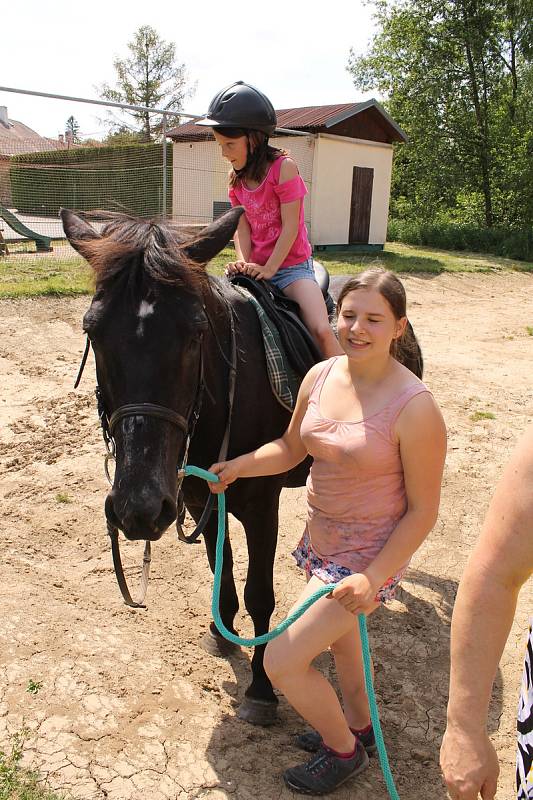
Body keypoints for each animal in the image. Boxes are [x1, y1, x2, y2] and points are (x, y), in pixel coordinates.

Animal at [62, 206, 312, 724]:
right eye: (92, 331)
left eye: (196, 333)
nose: (138, 509)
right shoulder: (200, 497)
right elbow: (222, 568)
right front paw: (220, 633)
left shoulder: (263, 505)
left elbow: (260, 593)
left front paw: (261, 687)